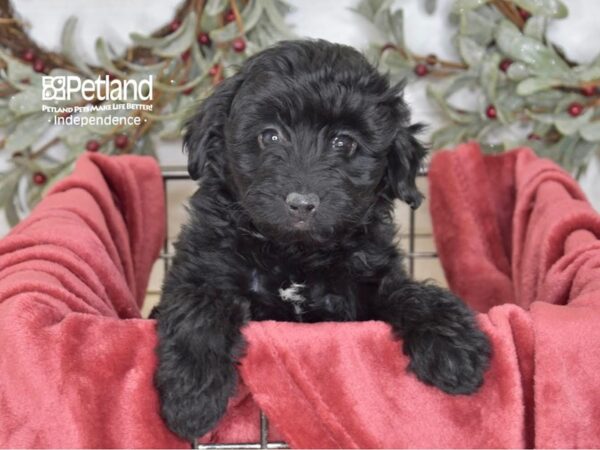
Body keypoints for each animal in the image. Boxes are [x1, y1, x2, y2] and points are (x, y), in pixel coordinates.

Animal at [155, 40, 492, 442]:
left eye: (343, 142)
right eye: (270, 135)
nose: (302, 203)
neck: (293, 254)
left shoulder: (365, 280)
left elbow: (407, 292)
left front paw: (453, 344)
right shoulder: (204, 267)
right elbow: (198, 306)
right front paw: (192, 396)